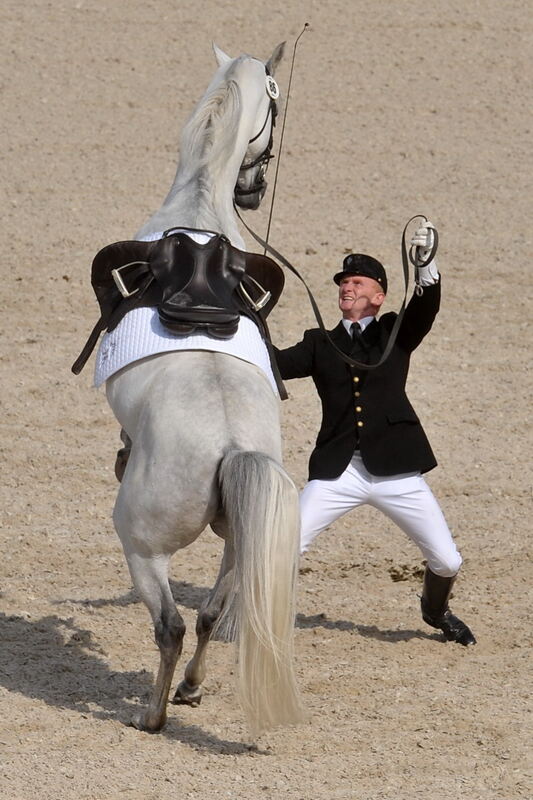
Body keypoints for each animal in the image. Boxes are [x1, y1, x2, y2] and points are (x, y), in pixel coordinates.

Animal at [96, 43, 304, 736]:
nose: (255, 188)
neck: (198, 207)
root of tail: (232, 447)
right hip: (243, 548)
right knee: (213, 613)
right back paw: (188, 689)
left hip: (141, 545)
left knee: (171, 625)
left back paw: (153, 716)